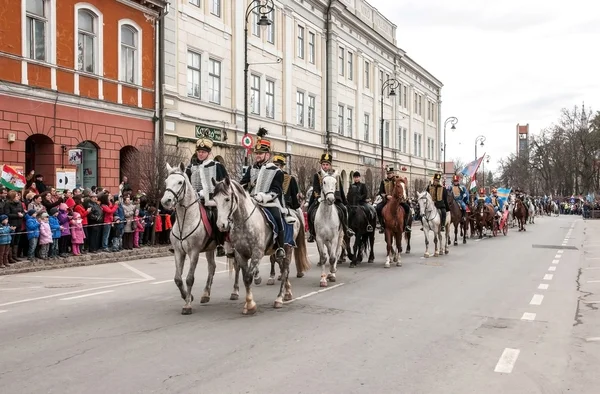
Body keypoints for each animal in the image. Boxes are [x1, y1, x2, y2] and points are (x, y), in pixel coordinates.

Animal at [162, 162, 232, 316]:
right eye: (166, 182)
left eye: (180, 182)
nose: (165, 201)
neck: (186, 220)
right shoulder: (178, 252)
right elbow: (178, 279)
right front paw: (188, 297)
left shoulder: (193, 252)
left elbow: (189, 279)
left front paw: (187, 305)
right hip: (210, 249)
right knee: (212, 267)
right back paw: (206, 294)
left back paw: (236, 291)